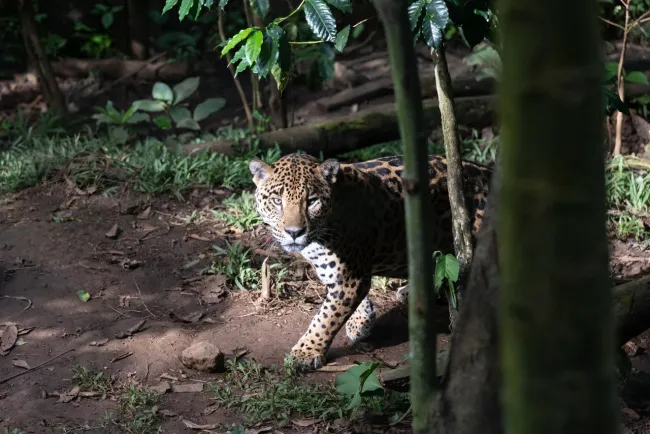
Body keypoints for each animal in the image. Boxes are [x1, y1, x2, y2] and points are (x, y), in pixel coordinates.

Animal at [249, 152, 492, 370]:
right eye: (277, 201)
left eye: (311, 201)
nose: (294, 232)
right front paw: (361, 320)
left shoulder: (349, 279)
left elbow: (325, 318)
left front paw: (305, 353)